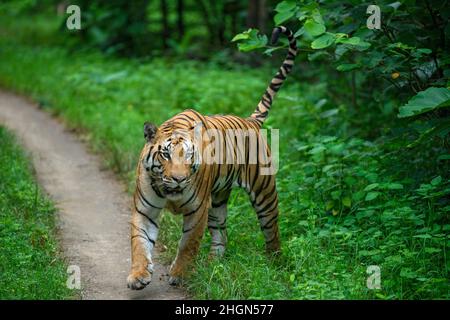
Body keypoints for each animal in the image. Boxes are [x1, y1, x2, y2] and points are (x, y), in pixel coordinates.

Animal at [126, 26, 298, 288]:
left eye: (188, 156)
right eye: (165, 154)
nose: (178, 179)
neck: (170, 191)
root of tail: (251, 121)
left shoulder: (198, 210)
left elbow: (188, 245)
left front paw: (179, 274)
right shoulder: (145, 209)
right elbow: (139, 243)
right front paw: (138, 275)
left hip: (264, 193)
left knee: (272, 231)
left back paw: (275, 265)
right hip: (218, 200)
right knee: (222, 232)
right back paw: (212, 264)